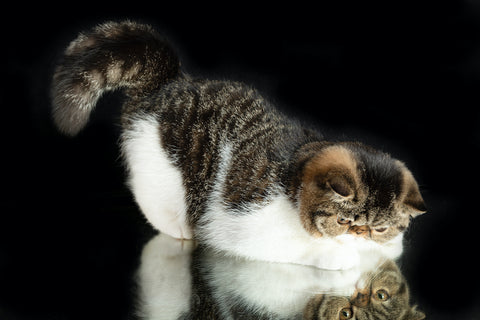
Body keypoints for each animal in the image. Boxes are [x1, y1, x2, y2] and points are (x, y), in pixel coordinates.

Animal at [51, 20, 428, 270]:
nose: (360, 234)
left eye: (379, 228)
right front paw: (338, 255)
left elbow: (390, 251)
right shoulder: (239, 226)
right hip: (162, 171)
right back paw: (179, 228)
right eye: (344, 221)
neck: (296, 174)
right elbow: (302, 250)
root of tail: (169, 81)